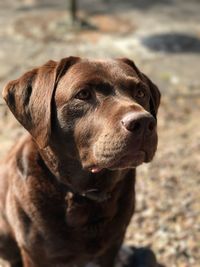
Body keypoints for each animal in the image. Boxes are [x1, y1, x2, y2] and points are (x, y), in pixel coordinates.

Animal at [0, 57, 159, 267]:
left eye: (140, 92)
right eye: (83, 94)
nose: (143, 122)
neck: (87, 194)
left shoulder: (111, 247)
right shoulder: (34, 255)